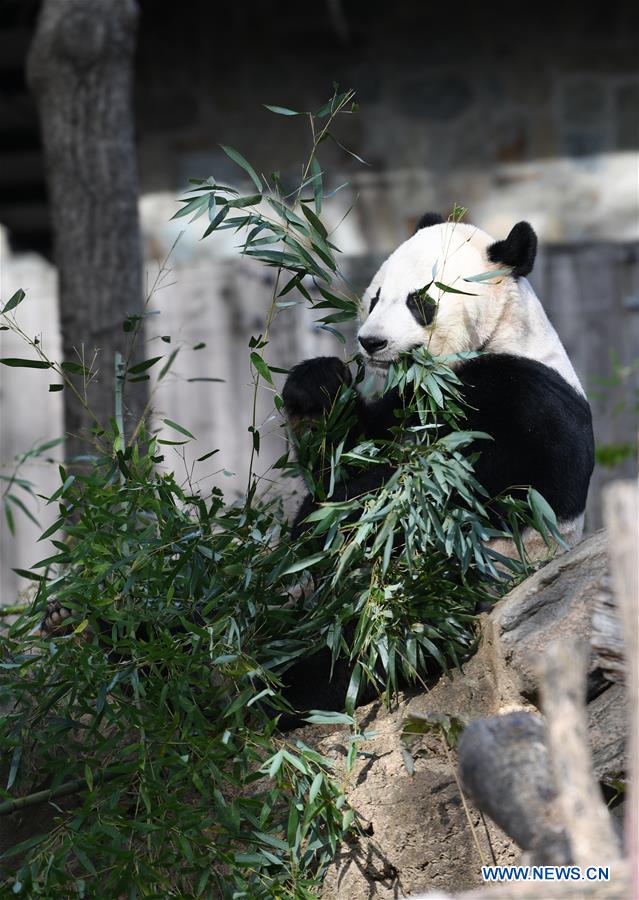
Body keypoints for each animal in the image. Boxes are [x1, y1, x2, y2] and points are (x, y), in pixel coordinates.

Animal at [282, 216, 596, 556]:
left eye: (419, 301)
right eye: (375, 299)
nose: (372, 342)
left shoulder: (527, 396)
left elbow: (464, 486)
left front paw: (320, 522)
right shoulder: (413, 396)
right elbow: (350, 455)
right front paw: (317, 384)